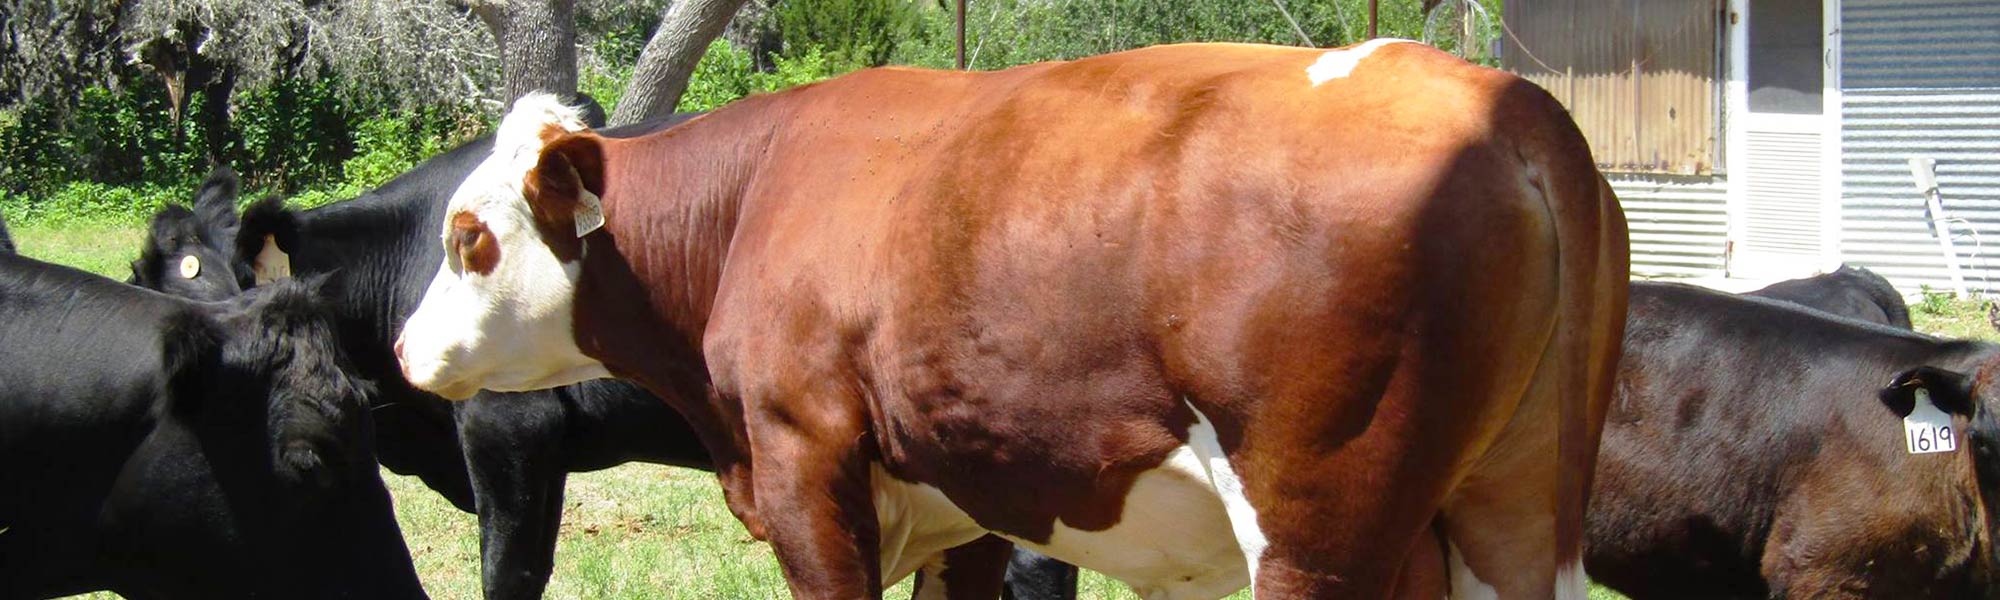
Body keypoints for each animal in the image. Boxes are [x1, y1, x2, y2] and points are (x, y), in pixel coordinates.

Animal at [396, 40, 1629, 598]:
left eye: (469, 235)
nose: (406, 349)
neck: (753, 198)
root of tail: (1502, 98)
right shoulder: (965, 493)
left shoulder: (802, 465)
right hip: (1511, 511)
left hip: (1317, 528)